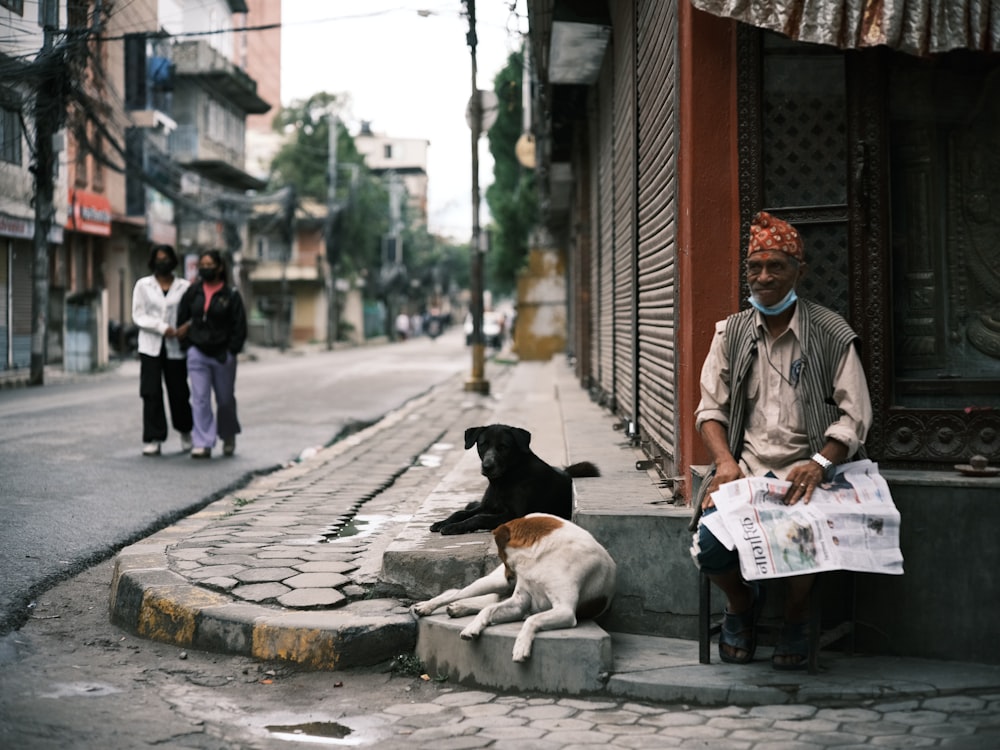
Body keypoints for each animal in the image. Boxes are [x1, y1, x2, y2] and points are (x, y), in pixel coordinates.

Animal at [410, 516, 612, 660]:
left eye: (501, 554)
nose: (510, 578)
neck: (540, 557)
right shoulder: (520, 601)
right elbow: (488, 610)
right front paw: (472, 627)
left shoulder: (564, 610)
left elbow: (529, 619)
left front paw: (521, 645)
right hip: (493, 583)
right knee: (455, 593)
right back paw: (427, 606)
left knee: (485, 602)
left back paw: (459, 608)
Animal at [426, 426, 596, 536]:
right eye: (482, 445)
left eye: (503, 447)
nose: (487, 466)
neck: (504, 480)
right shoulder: (487, 506)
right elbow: (461, 512)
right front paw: (443, 522)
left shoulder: (514, 515)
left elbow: (478, 517)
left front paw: (454, 527)